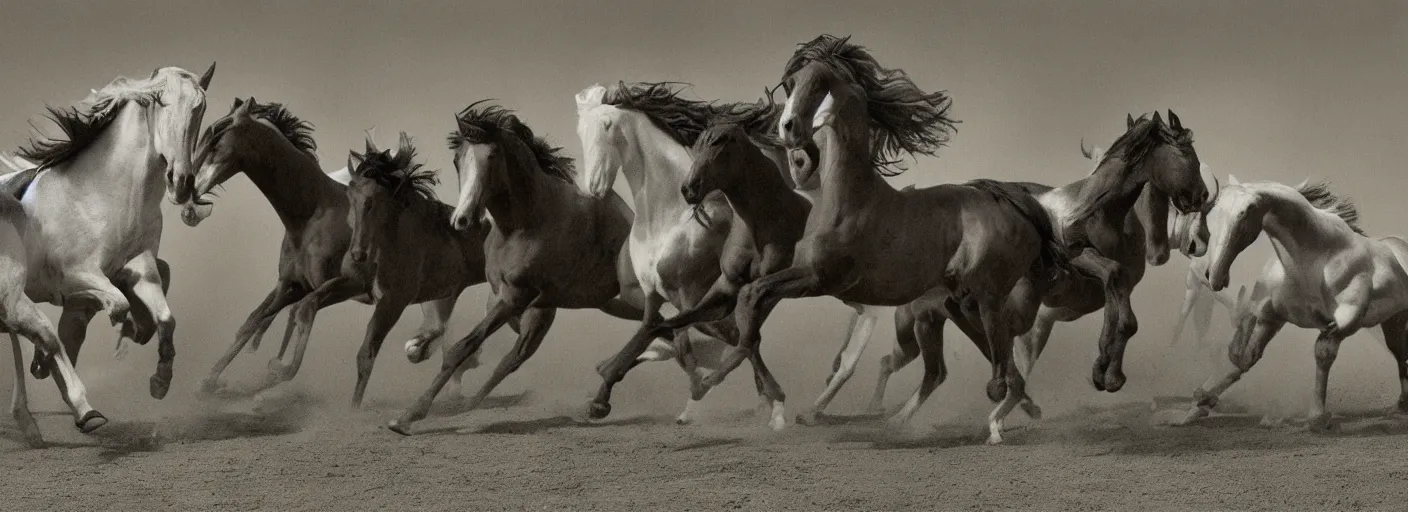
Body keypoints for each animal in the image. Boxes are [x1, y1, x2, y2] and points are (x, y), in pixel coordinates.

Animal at [8, 64, 214, 399]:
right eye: (161, 102)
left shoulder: (139, 265)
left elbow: (165, 317)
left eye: (200, 108)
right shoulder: (75, 274)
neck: (101, 194)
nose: (181, 181)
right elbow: (116, 304)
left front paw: (160, 379)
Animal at [178, 99, 467, 396]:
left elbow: (296, 314)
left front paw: (276, 371)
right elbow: (253, 321)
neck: (311, 213)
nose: (187, 200)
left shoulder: (346, 284)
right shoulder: (292, 284)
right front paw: (210, 380)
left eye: (216, 139)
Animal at [343, 132, 492, 407]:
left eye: (372, 201)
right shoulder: (438, 295)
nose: (357, 254)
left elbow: (366, 352)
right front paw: (420, 348)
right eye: (350, 196)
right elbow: (431, 333)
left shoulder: (395, 300)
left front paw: (353, 409)